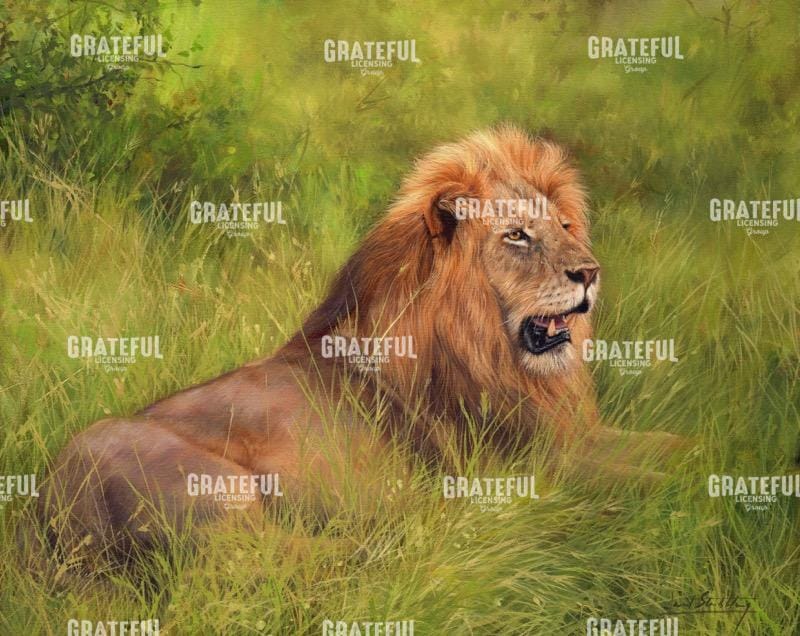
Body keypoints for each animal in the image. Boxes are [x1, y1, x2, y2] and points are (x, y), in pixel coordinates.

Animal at [33, 125, 684, 574]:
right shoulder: (529, 464)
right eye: (517, 236)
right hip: (216, 495)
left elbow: (673, 446)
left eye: (565, 227)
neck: (489, 349)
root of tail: (48, 505)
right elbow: (642, 478)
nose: (590, 272)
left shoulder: (569, 436)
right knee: (277, 564)